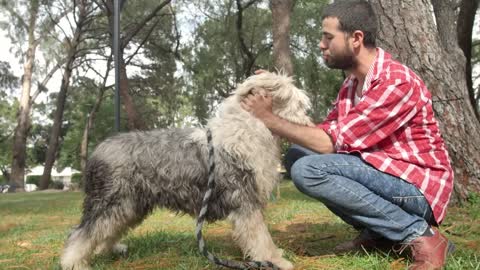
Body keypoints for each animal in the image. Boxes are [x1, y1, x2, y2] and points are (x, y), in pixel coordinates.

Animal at [60, 72, 314, 270]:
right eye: (299, 105)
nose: (310, 122)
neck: (248, 129)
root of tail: (99, 149)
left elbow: (260, 237)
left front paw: (275, 257)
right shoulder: (245, 201)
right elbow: (261, 238)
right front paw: (276, 261)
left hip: (130, 205)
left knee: (105, 231)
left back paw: (110, 249)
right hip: (111, 201)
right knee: (82, 233)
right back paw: (73, 262)